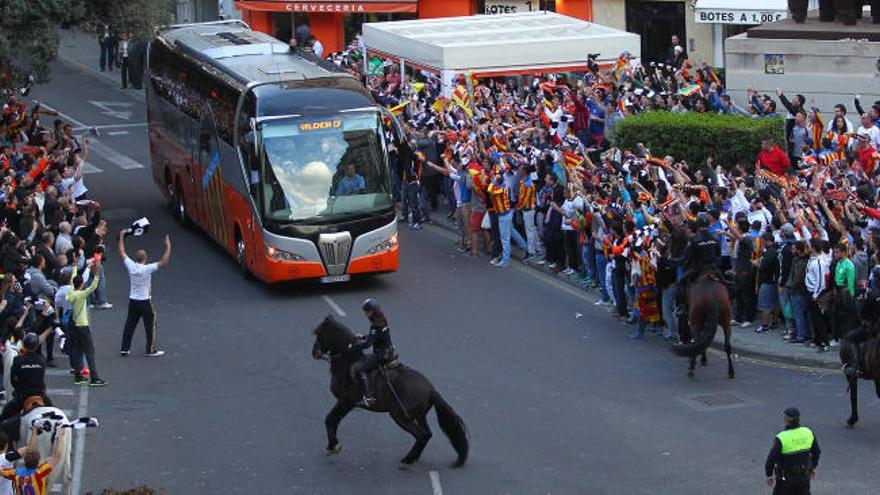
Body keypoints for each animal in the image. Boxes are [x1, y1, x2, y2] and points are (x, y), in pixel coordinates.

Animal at [312, 318, 470, 468]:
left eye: (319, 333)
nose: (314, 352)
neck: (347, 362)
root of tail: (431, 389)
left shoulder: (346, 402)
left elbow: (330, 419)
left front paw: (333, 446)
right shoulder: (345, 403)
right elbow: (332, 420)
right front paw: (333, 446)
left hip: (399, 415)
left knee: (421, 435)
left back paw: (407, 460)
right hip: (419, 415)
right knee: (427, 434)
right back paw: (413, 458)